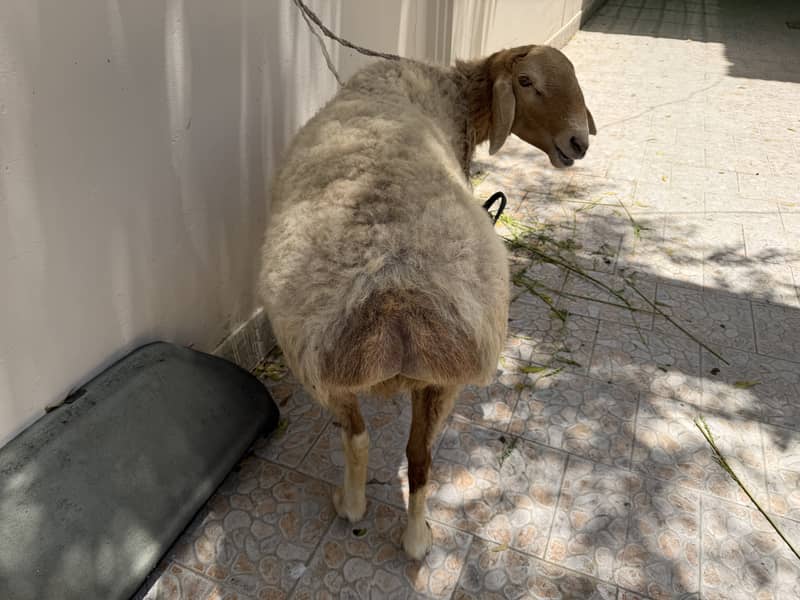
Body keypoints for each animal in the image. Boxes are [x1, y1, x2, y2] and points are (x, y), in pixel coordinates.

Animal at [258, 44, 595, 559]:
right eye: (526, 82)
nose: (579, 142)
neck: (454, 95)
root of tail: (392, 293)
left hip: (324, 366)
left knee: (381, 445)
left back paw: (384, 523)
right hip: (428, 377)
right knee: (410, 453)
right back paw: (403, 531)